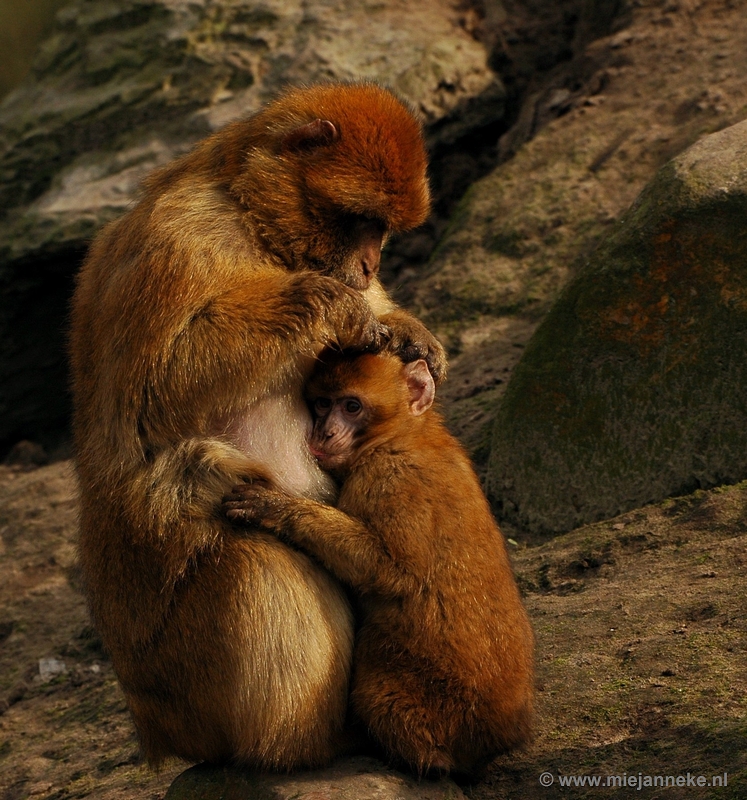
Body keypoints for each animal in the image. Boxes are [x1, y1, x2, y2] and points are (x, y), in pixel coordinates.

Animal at [70, 81, 448, 768]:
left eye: (381, 229)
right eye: (360, 221)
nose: (369, 265)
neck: (247, 214)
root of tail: (155, 730)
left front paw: (408, 334)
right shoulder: (178, 242)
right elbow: (154, 391)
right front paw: (333, 306)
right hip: (185, 685)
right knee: (253, 555)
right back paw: (306, 745)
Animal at [225, 354, 536, 780]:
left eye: (351, 406)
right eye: (322, 403)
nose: (323, 433)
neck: (403, 432)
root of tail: (497, 737)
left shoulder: (386, 477)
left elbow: (392, 573)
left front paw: (279, 509)